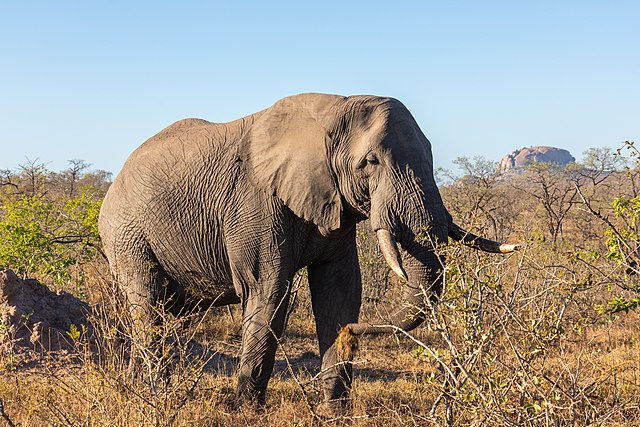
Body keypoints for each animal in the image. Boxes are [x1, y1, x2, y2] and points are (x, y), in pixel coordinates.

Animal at [98, 93, 518, 410]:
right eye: (371, 162)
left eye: (431, 155)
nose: (353, 333)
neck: (332, 111)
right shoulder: (255, 204)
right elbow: (268, 292)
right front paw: (245, 410)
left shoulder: (336, 205)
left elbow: (340, 292)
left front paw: (335, 411)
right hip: (126, 235)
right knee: (148, 306)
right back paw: (154, 394)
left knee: (166, 311)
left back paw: (137, 387)